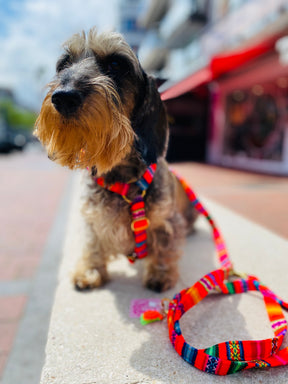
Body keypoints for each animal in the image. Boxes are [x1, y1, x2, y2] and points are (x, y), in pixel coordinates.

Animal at [34, 28, 198, 292]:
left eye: (116, 63)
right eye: (64, 64)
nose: (63, 97)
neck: (120, 175)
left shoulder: (166, 220)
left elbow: (164, 246)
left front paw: (160, 274)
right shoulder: (92, 219)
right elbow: (92, 244)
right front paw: (89, 271)